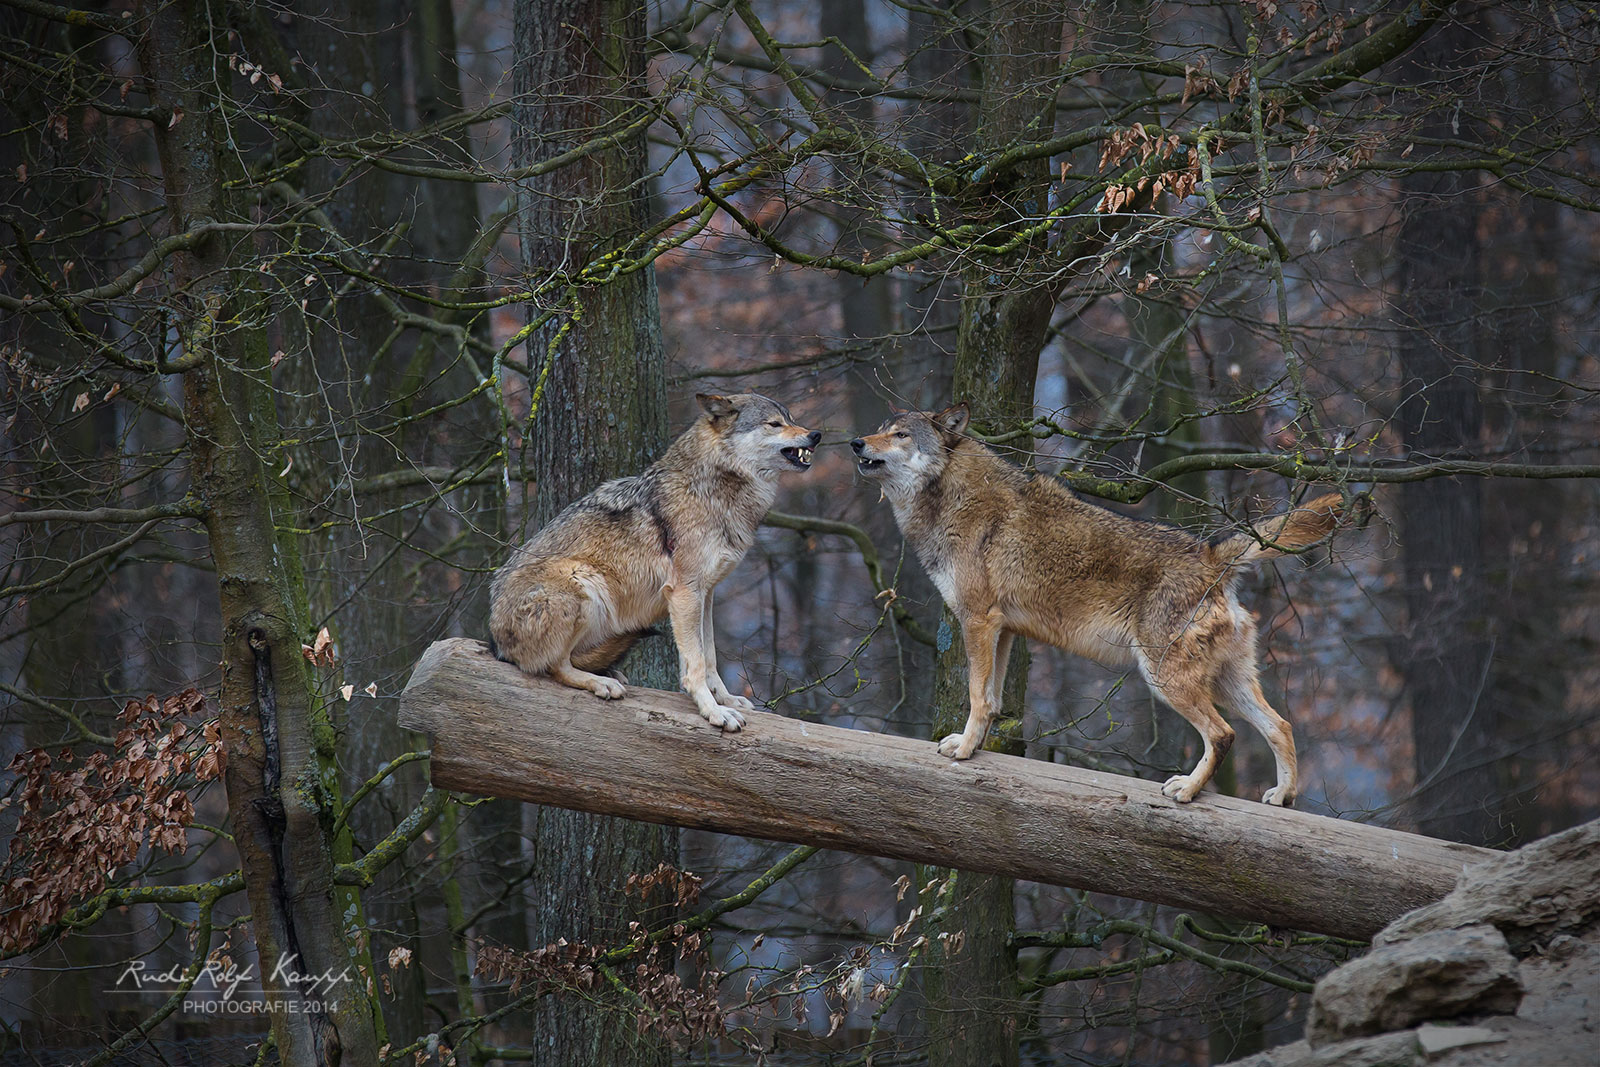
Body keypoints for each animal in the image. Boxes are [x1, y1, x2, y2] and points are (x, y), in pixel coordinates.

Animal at [486, 395, 819, 735]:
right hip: (583, 579)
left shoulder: (706, 594)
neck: (713, 490)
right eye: (774, 424)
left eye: (792, 419)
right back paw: (602, 683)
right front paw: (713, 711)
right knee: (554, 666)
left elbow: (710, 657)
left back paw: (610, 673)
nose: (815, 435)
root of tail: (496, 641)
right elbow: (696, 664)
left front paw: (725, 699)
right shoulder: (684, 593)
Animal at [857, 404, 1344, 806]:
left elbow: (977, 696)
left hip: (1164, 679)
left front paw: (962, 749)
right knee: (1280, 726)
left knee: (1223, 734)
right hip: (1224, 682)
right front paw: (973, 745)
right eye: (880, 428)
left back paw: (1186, 790)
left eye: (900, 434)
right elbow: (992, 701)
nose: (856, 443)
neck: (948, 497)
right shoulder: (1003, 630)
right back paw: (1282, 796)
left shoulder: (978, 621)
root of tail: (1211, 556)